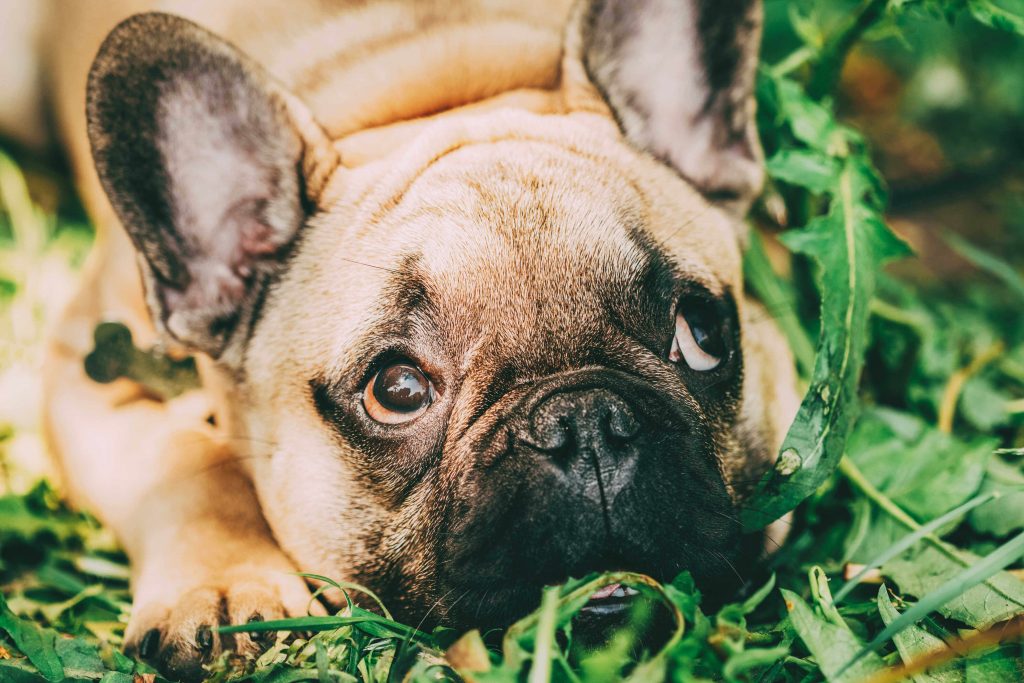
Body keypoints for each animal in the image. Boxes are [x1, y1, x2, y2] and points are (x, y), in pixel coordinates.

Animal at [19, 0, 798, 679]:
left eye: (699, 334)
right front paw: (227, 587)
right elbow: (185, 457)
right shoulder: (88, 362)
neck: (423, 93)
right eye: (396, 389)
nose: (585, 422)